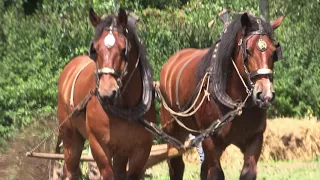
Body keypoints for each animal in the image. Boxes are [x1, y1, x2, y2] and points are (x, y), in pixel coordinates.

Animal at [57, 7, 156, 179]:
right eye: (95, 49)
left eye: (123, 49)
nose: (107, 93)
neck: (125, 109)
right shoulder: (99, 144)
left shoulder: (141, 149)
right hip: (70, 139)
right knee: (71, 169)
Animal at [160, 13, 284, 179]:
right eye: (248, 51)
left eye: (273, 52)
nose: (265, 94)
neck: (235, 101)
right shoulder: (210, 140)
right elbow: (216, 173)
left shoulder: (255, 137)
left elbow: (248, 172)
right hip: (173, 133)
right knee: (176, 165)